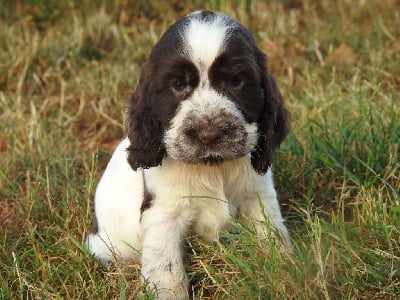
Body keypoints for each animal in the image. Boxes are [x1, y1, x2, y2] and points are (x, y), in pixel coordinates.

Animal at [86, 10, 290, 298]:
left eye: (236, 81)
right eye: (178, 84)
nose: (209, 134)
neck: (212, 168)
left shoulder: (258, 196)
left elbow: (273, 236)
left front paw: (286, 273)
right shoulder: (164, 213)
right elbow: (166, 270)